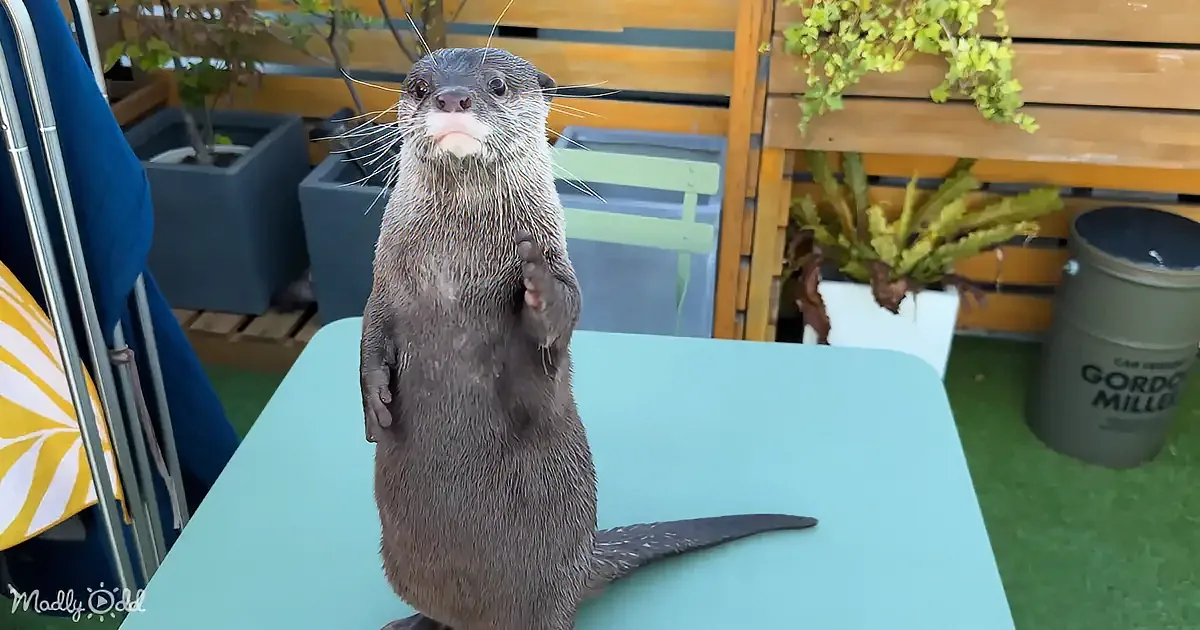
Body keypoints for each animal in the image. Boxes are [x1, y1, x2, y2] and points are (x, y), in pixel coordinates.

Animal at [360, 47, 817, 630]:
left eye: (496, 84)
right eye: (419, 87)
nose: (452, 97)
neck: (453, 270)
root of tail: (583, 563)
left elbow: (556, 334)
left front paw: (537, 286)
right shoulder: (382, 282)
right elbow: (370, 336)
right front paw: (375, 401)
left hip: (546, 595)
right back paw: (414, 620)